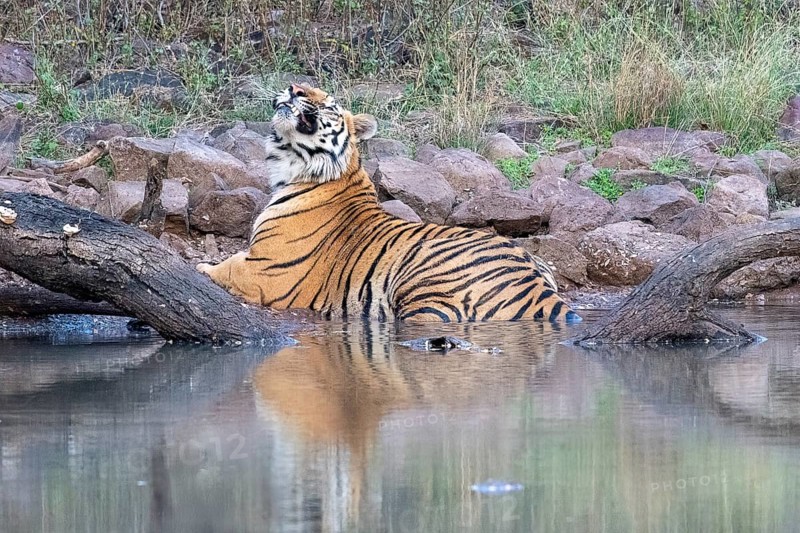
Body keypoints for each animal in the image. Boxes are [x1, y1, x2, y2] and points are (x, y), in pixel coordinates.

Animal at [197, 83, 581, 323]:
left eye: (329, 104)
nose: (295, 88)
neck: (294, 165)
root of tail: (533, 279)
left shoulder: (265, 269)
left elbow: (223, 266)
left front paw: (200, 269)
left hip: (424, 288)